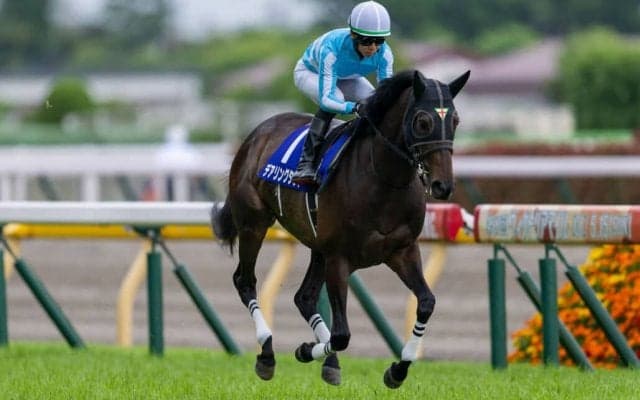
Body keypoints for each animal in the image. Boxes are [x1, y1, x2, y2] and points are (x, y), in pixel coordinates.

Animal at [211, 69, 469, 388]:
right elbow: (342, 335)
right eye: (423, 121)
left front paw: (397, 370)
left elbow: (426, 303)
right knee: (245, 280)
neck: (385, 179)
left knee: (304, 297)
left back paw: (326, 360)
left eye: (455, 120)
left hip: (316, 246)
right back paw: (268, 354)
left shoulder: (402, 250)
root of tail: (256, 134)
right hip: (254, 223)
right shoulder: (339, 257)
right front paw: (306, 350)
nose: (443, 186)